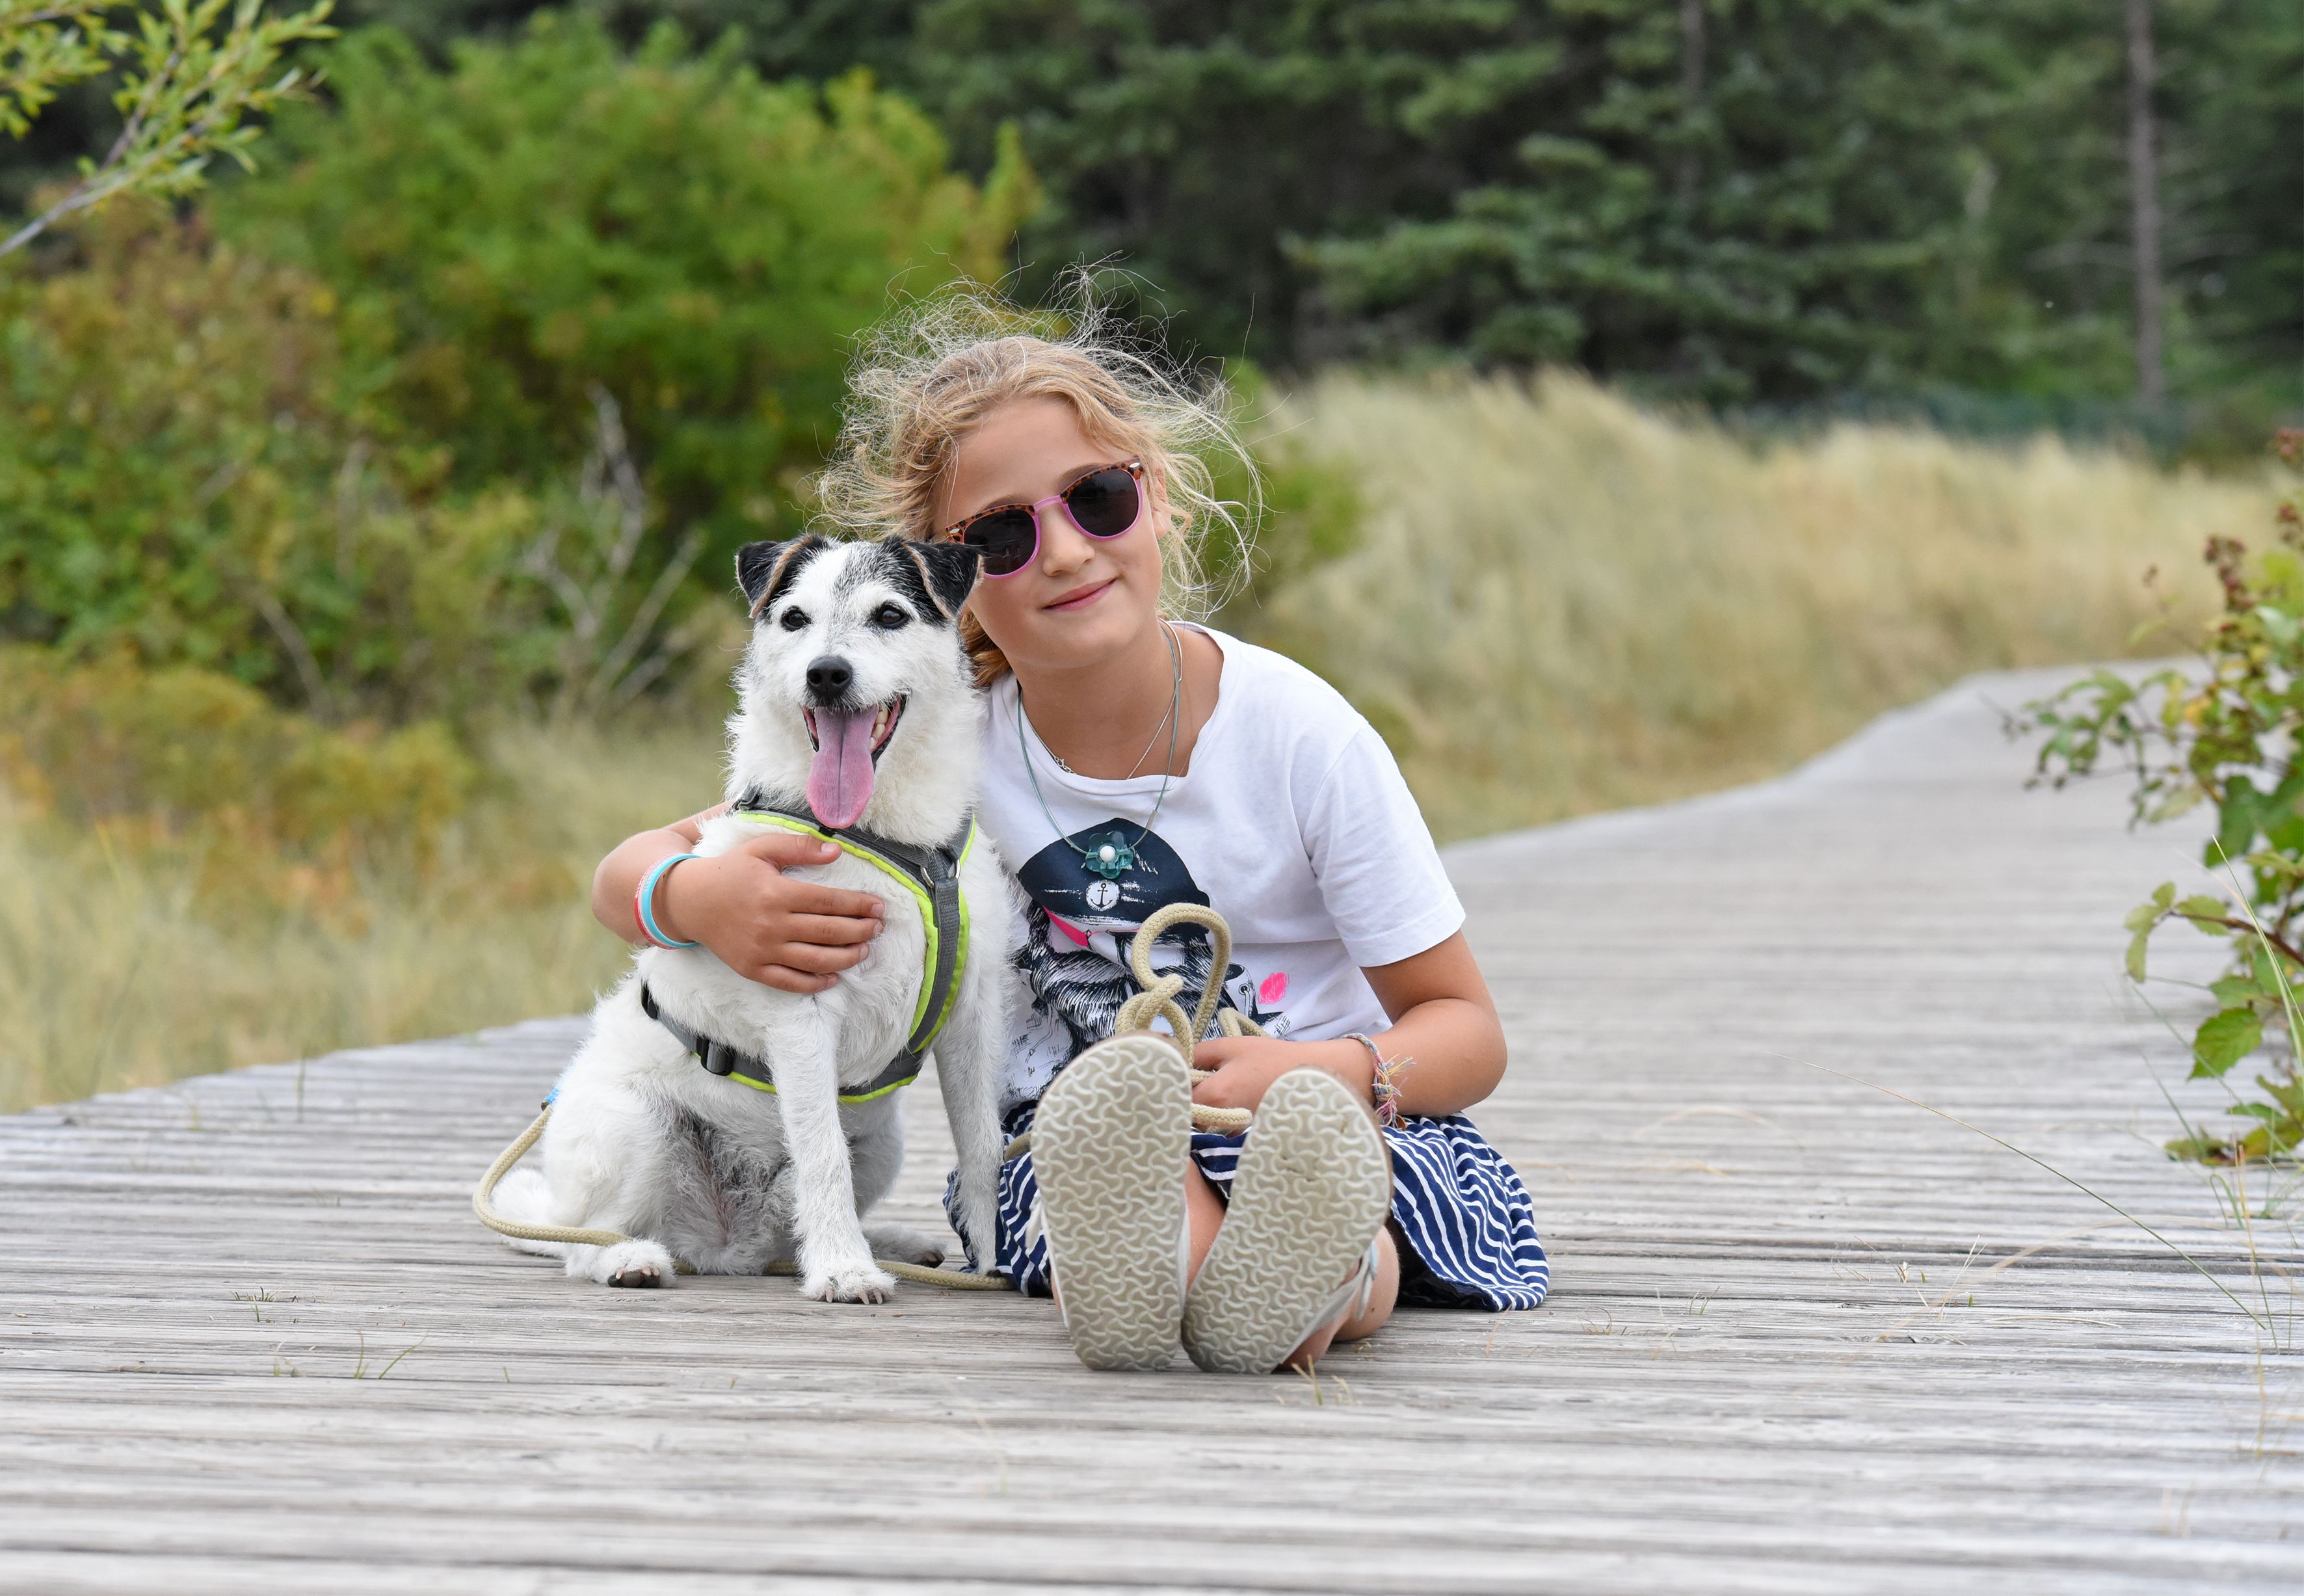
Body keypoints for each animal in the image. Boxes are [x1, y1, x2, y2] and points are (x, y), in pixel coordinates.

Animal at [495, 529, 1009, 1299]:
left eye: (889, 615)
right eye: (794, 619)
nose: (826, 674)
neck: (884, 833)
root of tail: (723, 1244)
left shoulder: (971, 1014)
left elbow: (982, 1148)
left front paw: (998, 1260)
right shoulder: (802, 1011)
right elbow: (822, 1153)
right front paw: (843, 1272)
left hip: (880, 1141)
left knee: (789, 1231)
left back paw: (893, 1244)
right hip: (636, 1127)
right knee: (585, 1243)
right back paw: (631, 1260)